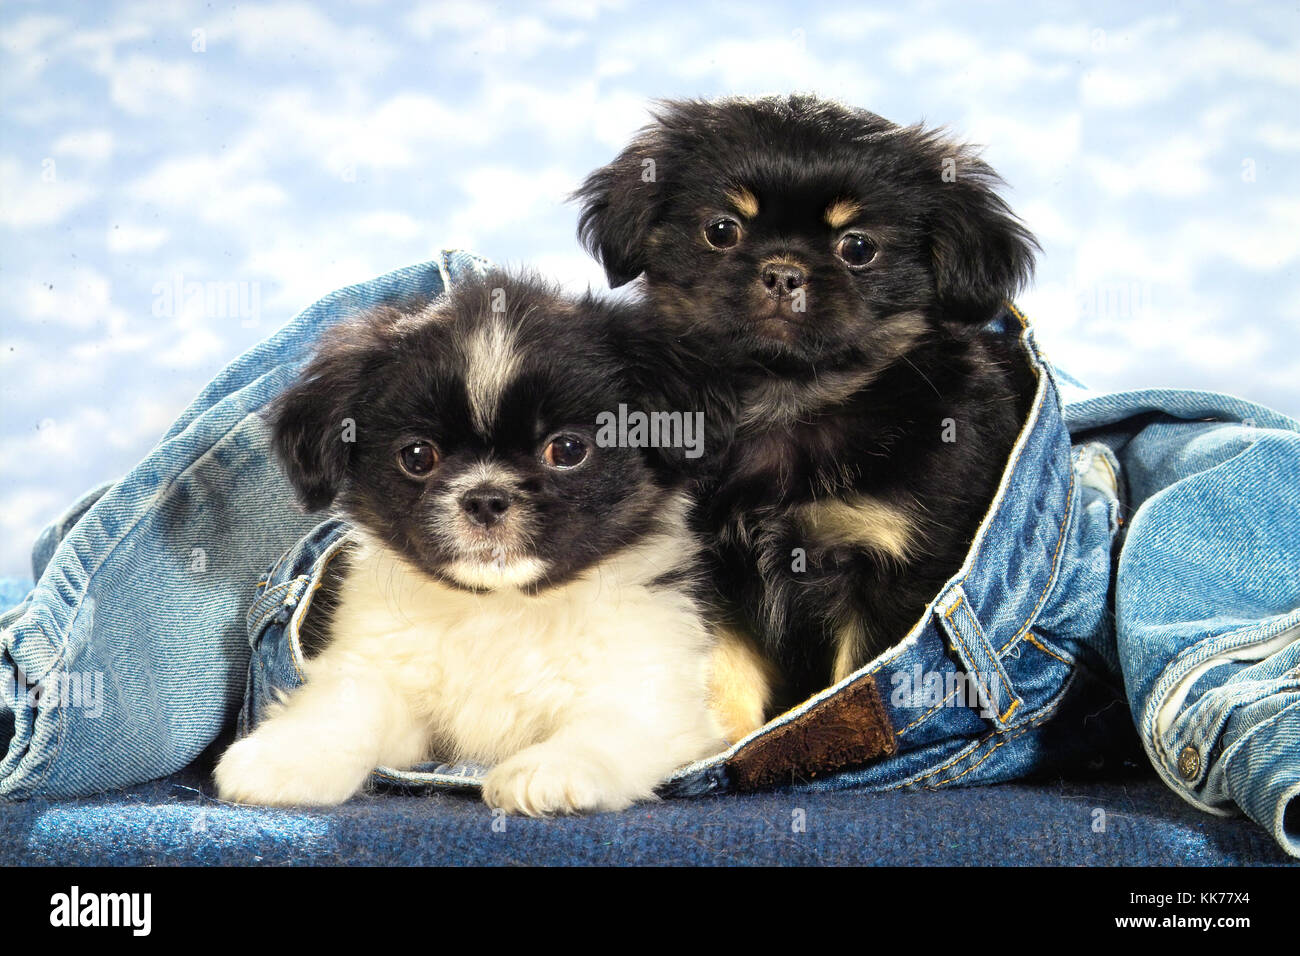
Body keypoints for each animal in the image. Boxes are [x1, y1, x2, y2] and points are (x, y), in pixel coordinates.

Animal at [208, 270, 728, 816]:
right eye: (418, 456)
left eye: (568, 450)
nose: (485, 498)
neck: (501, 609)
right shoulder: (389, 681)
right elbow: (348, 704)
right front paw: (289, 756)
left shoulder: (654, 692)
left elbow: (610, 726)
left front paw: (552, 769)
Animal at [574, 95, 1040, 717]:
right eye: (721, 230)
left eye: (858, 248)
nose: (782, 270)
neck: (784, 400)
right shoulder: (710, 572)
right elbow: (726, 680)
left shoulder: (888, 576)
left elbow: (848, 685)